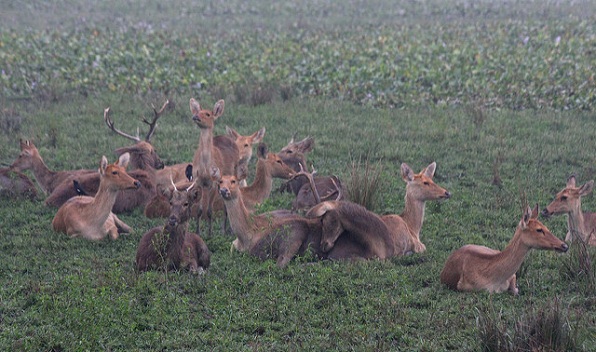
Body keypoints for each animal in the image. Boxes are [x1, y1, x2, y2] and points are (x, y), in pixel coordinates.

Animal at [190, 98, 239, 236]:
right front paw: (198, 232)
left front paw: (210, 233)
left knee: (226, 204)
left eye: (207, 114)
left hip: (235, 170)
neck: (205, 168)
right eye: (197, 111)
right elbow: (200, 210)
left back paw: (227, 230)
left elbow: (210, 211)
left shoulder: (214, 182)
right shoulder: (198, 181)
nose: (195, 117)